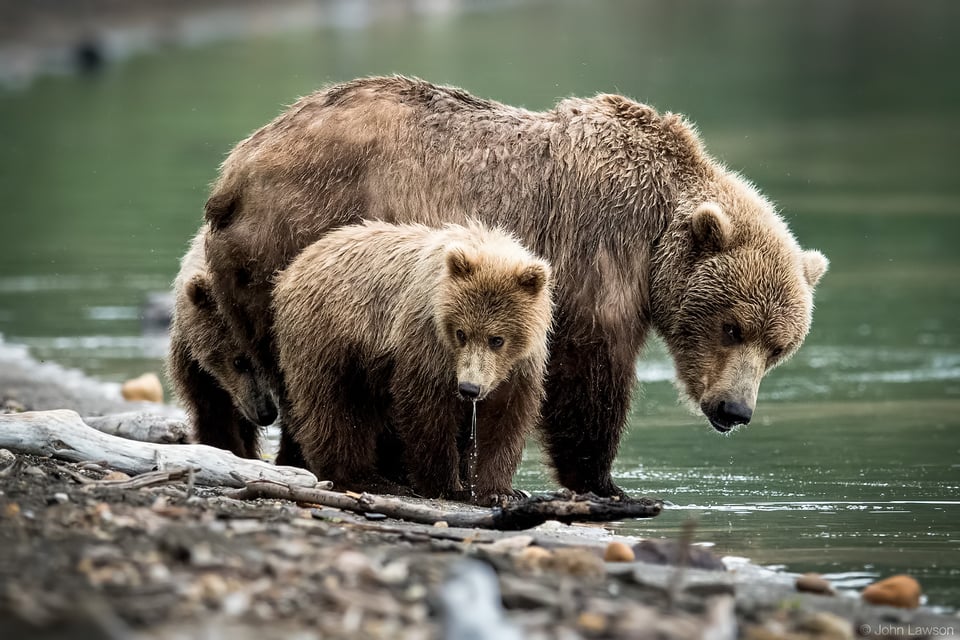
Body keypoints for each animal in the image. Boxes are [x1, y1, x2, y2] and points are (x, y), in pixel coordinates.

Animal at [274, 221, 552, 504]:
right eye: (461, 333)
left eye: (497, 339)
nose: (469, 388)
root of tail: (295, 264)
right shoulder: (427, 342)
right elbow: (427, 410)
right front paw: (448, 486)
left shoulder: (519, 368)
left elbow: (503, 420)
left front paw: (500, 491)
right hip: (330, 338)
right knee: (335, 409)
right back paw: (366, 479)